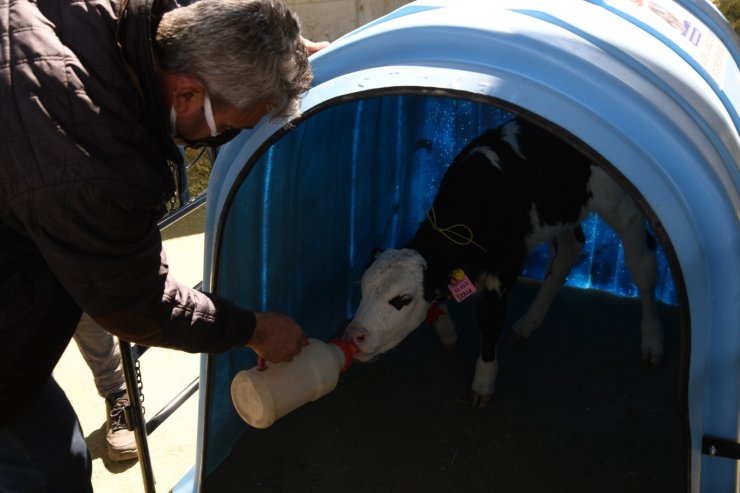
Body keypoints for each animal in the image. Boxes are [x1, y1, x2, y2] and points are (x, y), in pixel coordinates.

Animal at [344, 117, 660, 406]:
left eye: (402, 299)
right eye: (362, 290)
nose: (353, 335)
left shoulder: (505, 267)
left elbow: (490, 319)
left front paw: (483, 381)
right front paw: (447, 332)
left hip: (622, 205)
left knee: (643, 266)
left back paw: (652, 343)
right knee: (569, 252)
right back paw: (528, 324)